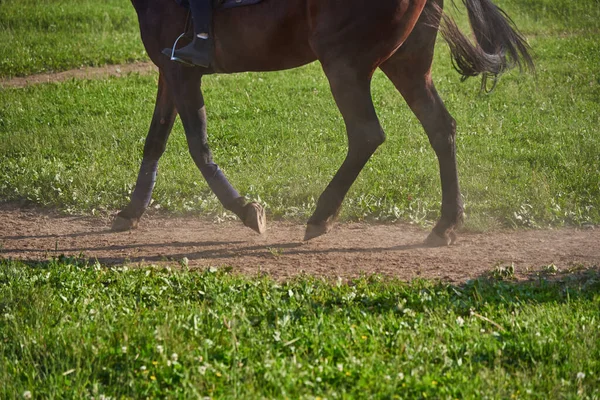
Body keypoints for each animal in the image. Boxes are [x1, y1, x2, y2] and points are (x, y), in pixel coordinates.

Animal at [115, 0, 532, 244]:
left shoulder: (181, 72)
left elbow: (197, 146)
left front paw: (246, 209)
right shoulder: (169, 69)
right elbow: (156, 139)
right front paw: (131, 212)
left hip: (343, 61)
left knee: (366, 135)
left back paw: (321, 215)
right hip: (407, 63)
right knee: (441, 128)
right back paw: (446, 224)